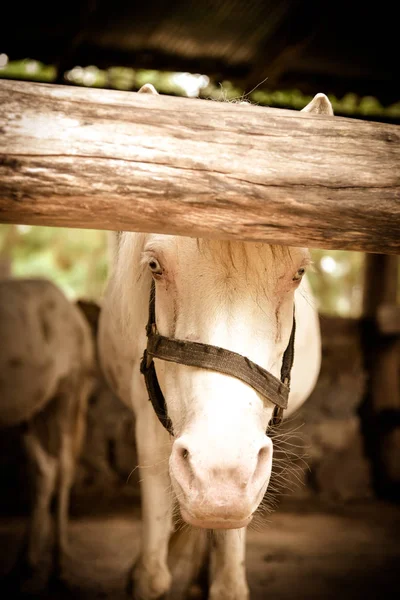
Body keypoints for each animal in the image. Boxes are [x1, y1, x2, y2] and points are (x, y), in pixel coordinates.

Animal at [0, 280, 95, 584]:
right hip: (30, 409)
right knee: (44, 470)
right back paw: (25, 563)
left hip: (65, 395)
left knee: (63, 468)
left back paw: (58, 566)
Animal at [98, 86, 332, 596]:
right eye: (154, 266)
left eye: (298, 273)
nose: (219, 475)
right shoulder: (149, 421)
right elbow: (153, 573)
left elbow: (229, 580)